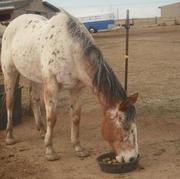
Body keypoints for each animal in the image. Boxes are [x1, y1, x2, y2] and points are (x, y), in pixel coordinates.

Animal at [0, 10, 139, 162]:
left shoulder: (76, 89)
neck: (70, 49)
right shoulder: (52, 86)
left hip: (35, 77)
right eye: (125, 127)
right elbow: (52, 118)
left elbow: (76, 118)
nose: (132, 157)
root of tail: (11, 23)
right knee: (10, 102)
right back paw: (10, 136)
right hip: (10, 72)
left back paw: (42, 131)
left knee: (34, 99)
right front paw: (50, 150)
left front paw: (78, 148)